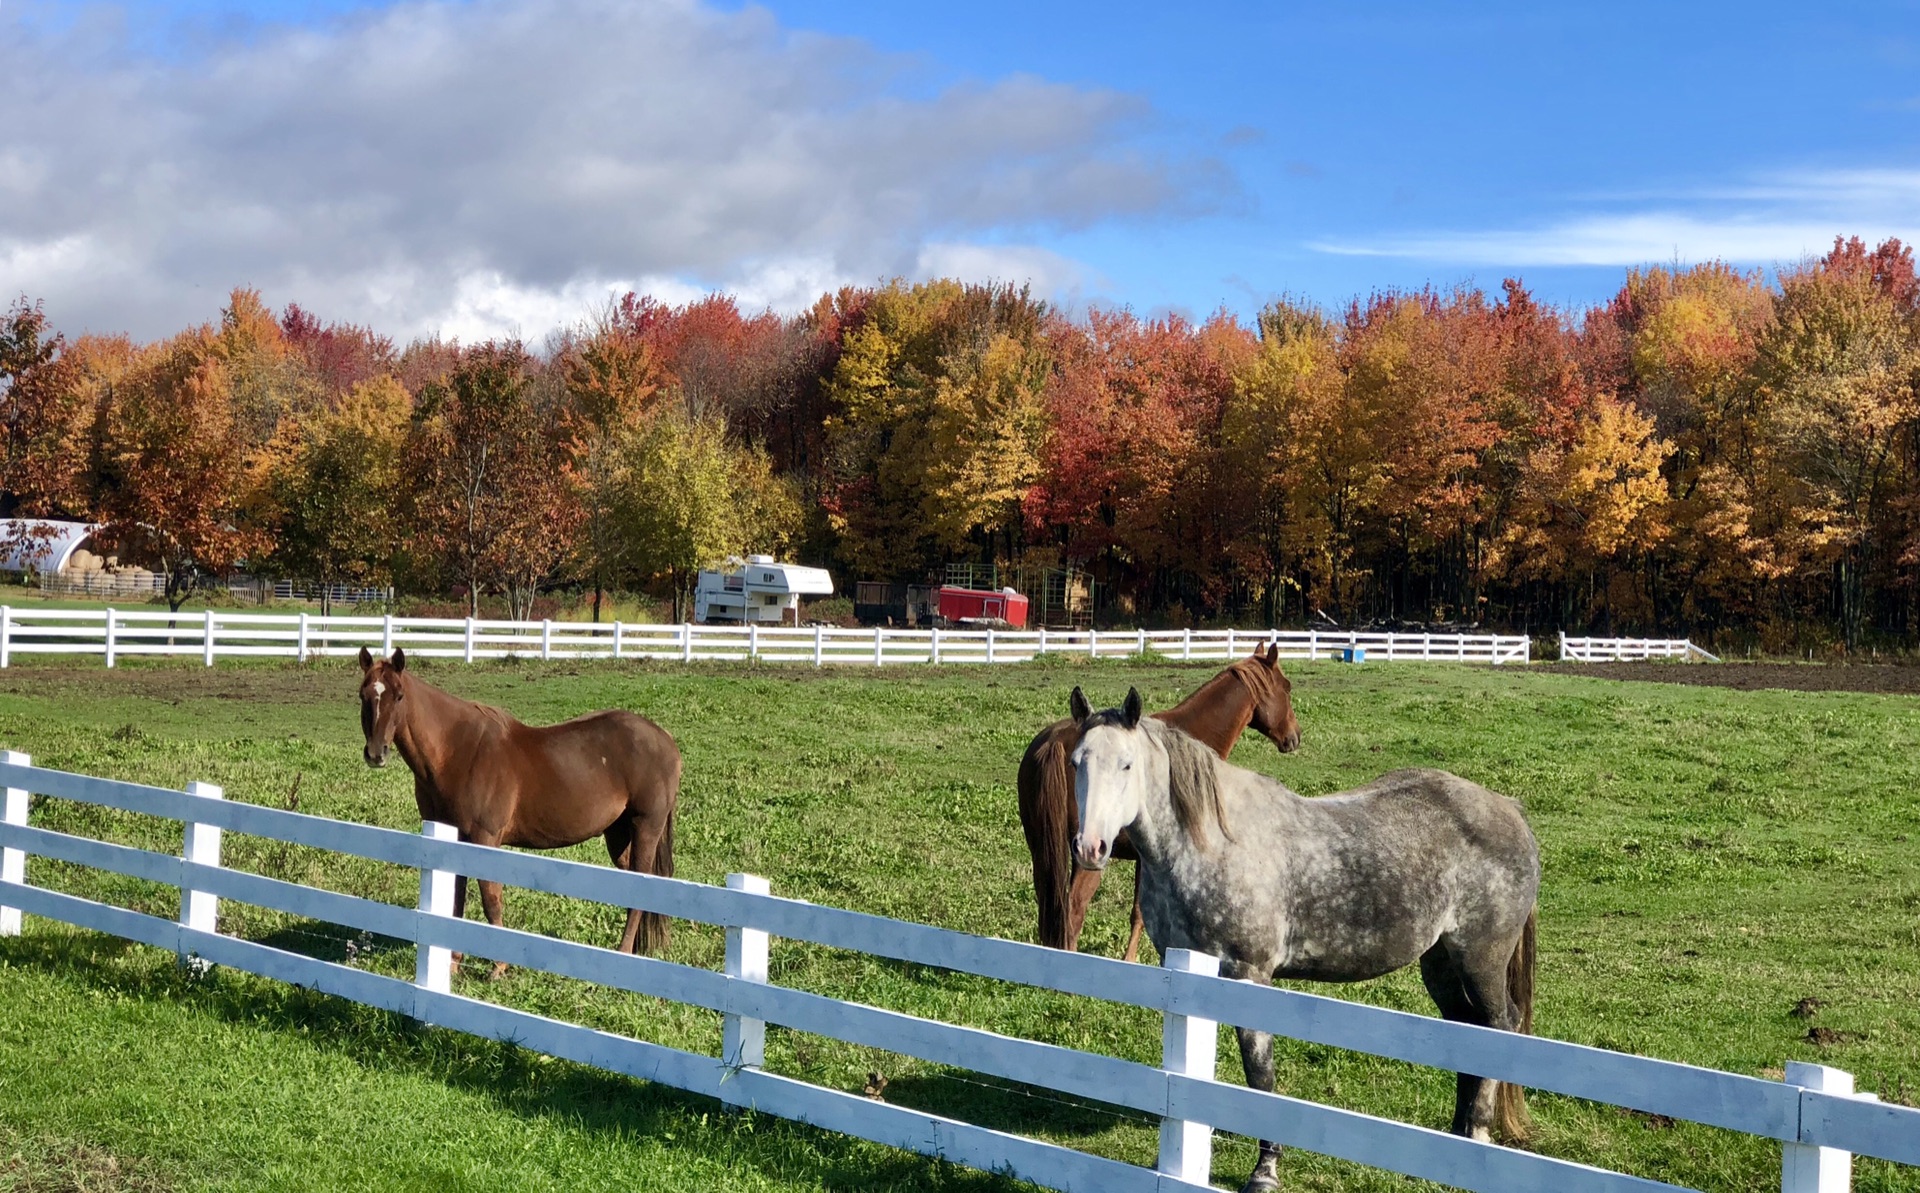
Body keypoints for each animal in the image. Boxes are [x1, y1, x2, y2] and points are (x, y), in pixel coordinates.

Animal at [355, 645, 683, 972]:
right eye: (363, 695)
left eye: (399, 696)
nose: (376, 753)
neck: (457, 753)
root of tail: (665, 739)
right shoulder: (455, 838)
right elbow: (457, 898)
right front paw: (453, 963)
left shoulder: (485, 838)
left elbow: (491, 897)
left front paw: (498, 967)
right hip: (618, 833)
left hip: (646, 826)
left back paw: (624, 953)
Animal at [1075, 687, 1536, 1191]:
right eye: (1078, 761)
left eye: (1126, 765)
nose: (1090, 848)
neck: (1212, 843)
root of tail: (1510, 810)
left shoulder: (1249, 974)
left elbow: (1261, 1076)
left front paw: (1265, 1171)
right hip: (1441, 963)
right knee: (1468, 1033)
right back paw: (1454, 1143)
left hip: (1480, 960)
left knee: (1499, 1027)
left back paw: (1477, 1135)